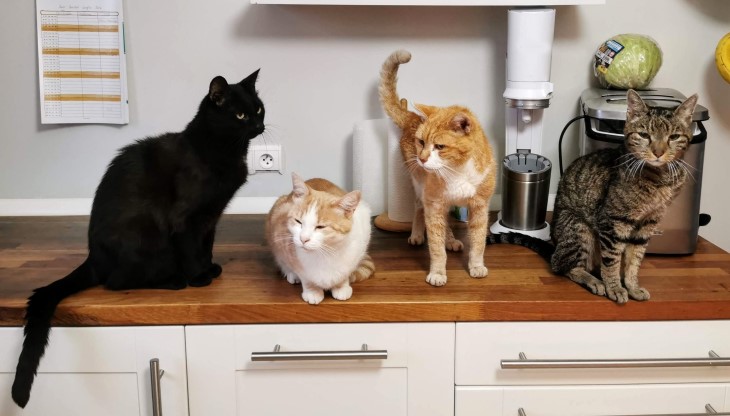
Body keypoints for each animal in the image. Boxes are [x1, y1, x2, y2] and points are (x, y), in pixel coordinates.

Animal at [11, 69, 264, 406]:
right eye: (240, 115)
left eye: (259, 109)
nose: (259, 126)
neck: (223, 150)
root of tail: (93, 257)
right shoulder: (185, 218)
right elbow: (191, 249)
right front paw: (199, 277)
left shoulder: (211, 217)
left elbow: (206, 246)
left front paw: (210, 268)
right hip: (146, 236)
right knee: (116, 282)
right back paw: (174, 280)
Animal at [378, 49, 498, 286]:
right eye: (421, 142)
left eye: (440, 146)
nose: (422, 158)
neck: (458, 170)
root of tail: (413, 117)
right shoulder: (433, 203)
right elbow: (435, 245)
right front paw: (438, 273)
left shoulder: (480, 206)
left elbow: (478, 242)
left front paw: (476, 266)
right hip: (419, 186)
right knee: (419, 207)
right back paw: (417, 235)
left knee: (446, 223)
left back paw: (451, 240)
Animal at [486, 90, 696, 302]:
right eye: (644, 135)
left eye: (674, 137)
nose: (658, 152)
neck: (659, 179)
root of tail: (555, 244)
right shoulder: (612, 223)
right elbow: (612, 261)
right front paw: (615, 288)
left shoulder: (647, 225)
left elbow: (634, 261)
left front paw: (632, 286)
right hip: (579, 229)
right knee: (563, 264)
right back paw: (594, 280)